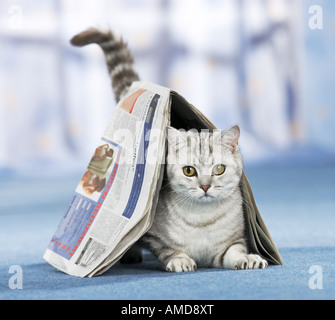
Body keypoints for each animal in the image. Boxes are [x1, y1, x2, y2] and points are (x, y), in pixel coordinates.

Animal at [72, 28, 270, 272]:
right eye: (189, 171)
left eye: (219, 169)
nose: (205, 186)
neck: (202, 221)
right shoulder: (154, 237)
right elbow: (169, 250)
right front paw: (180, 260)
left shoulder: (230, 243)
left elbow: (235, 252)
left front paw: (249, 258)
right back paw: (131, 253)